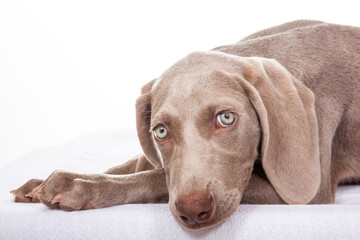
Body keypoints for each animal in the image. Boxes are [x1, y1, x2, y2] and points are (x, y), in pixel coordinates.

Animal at [10, 20, 360, 229]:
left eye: (226, 118)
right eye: (161, 131)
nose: (194, 212)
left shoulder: (306, 193)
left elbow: (157, 177)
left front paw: (84, 185)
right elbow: (135, 164)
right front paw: (46, 183)